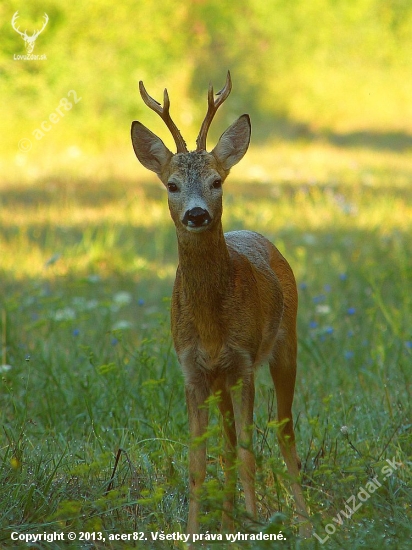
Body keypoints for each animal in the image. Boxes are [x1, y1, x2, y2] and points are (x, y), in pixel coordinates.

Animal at [131, 70, 308, 540]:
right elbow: (198, 462)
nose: (196, 214)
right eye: (171, 185)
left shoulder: (244, 361)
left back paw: (305, 521)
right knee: (226, 447)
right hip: (219, 381)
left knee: (284, 432)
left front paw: (256, 525)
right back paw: (230, 521)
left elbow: (246, 451)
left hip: (285, 344)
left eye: (217, 182)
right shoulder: (193, 370)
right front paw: (194, 537)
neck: (211, 327)